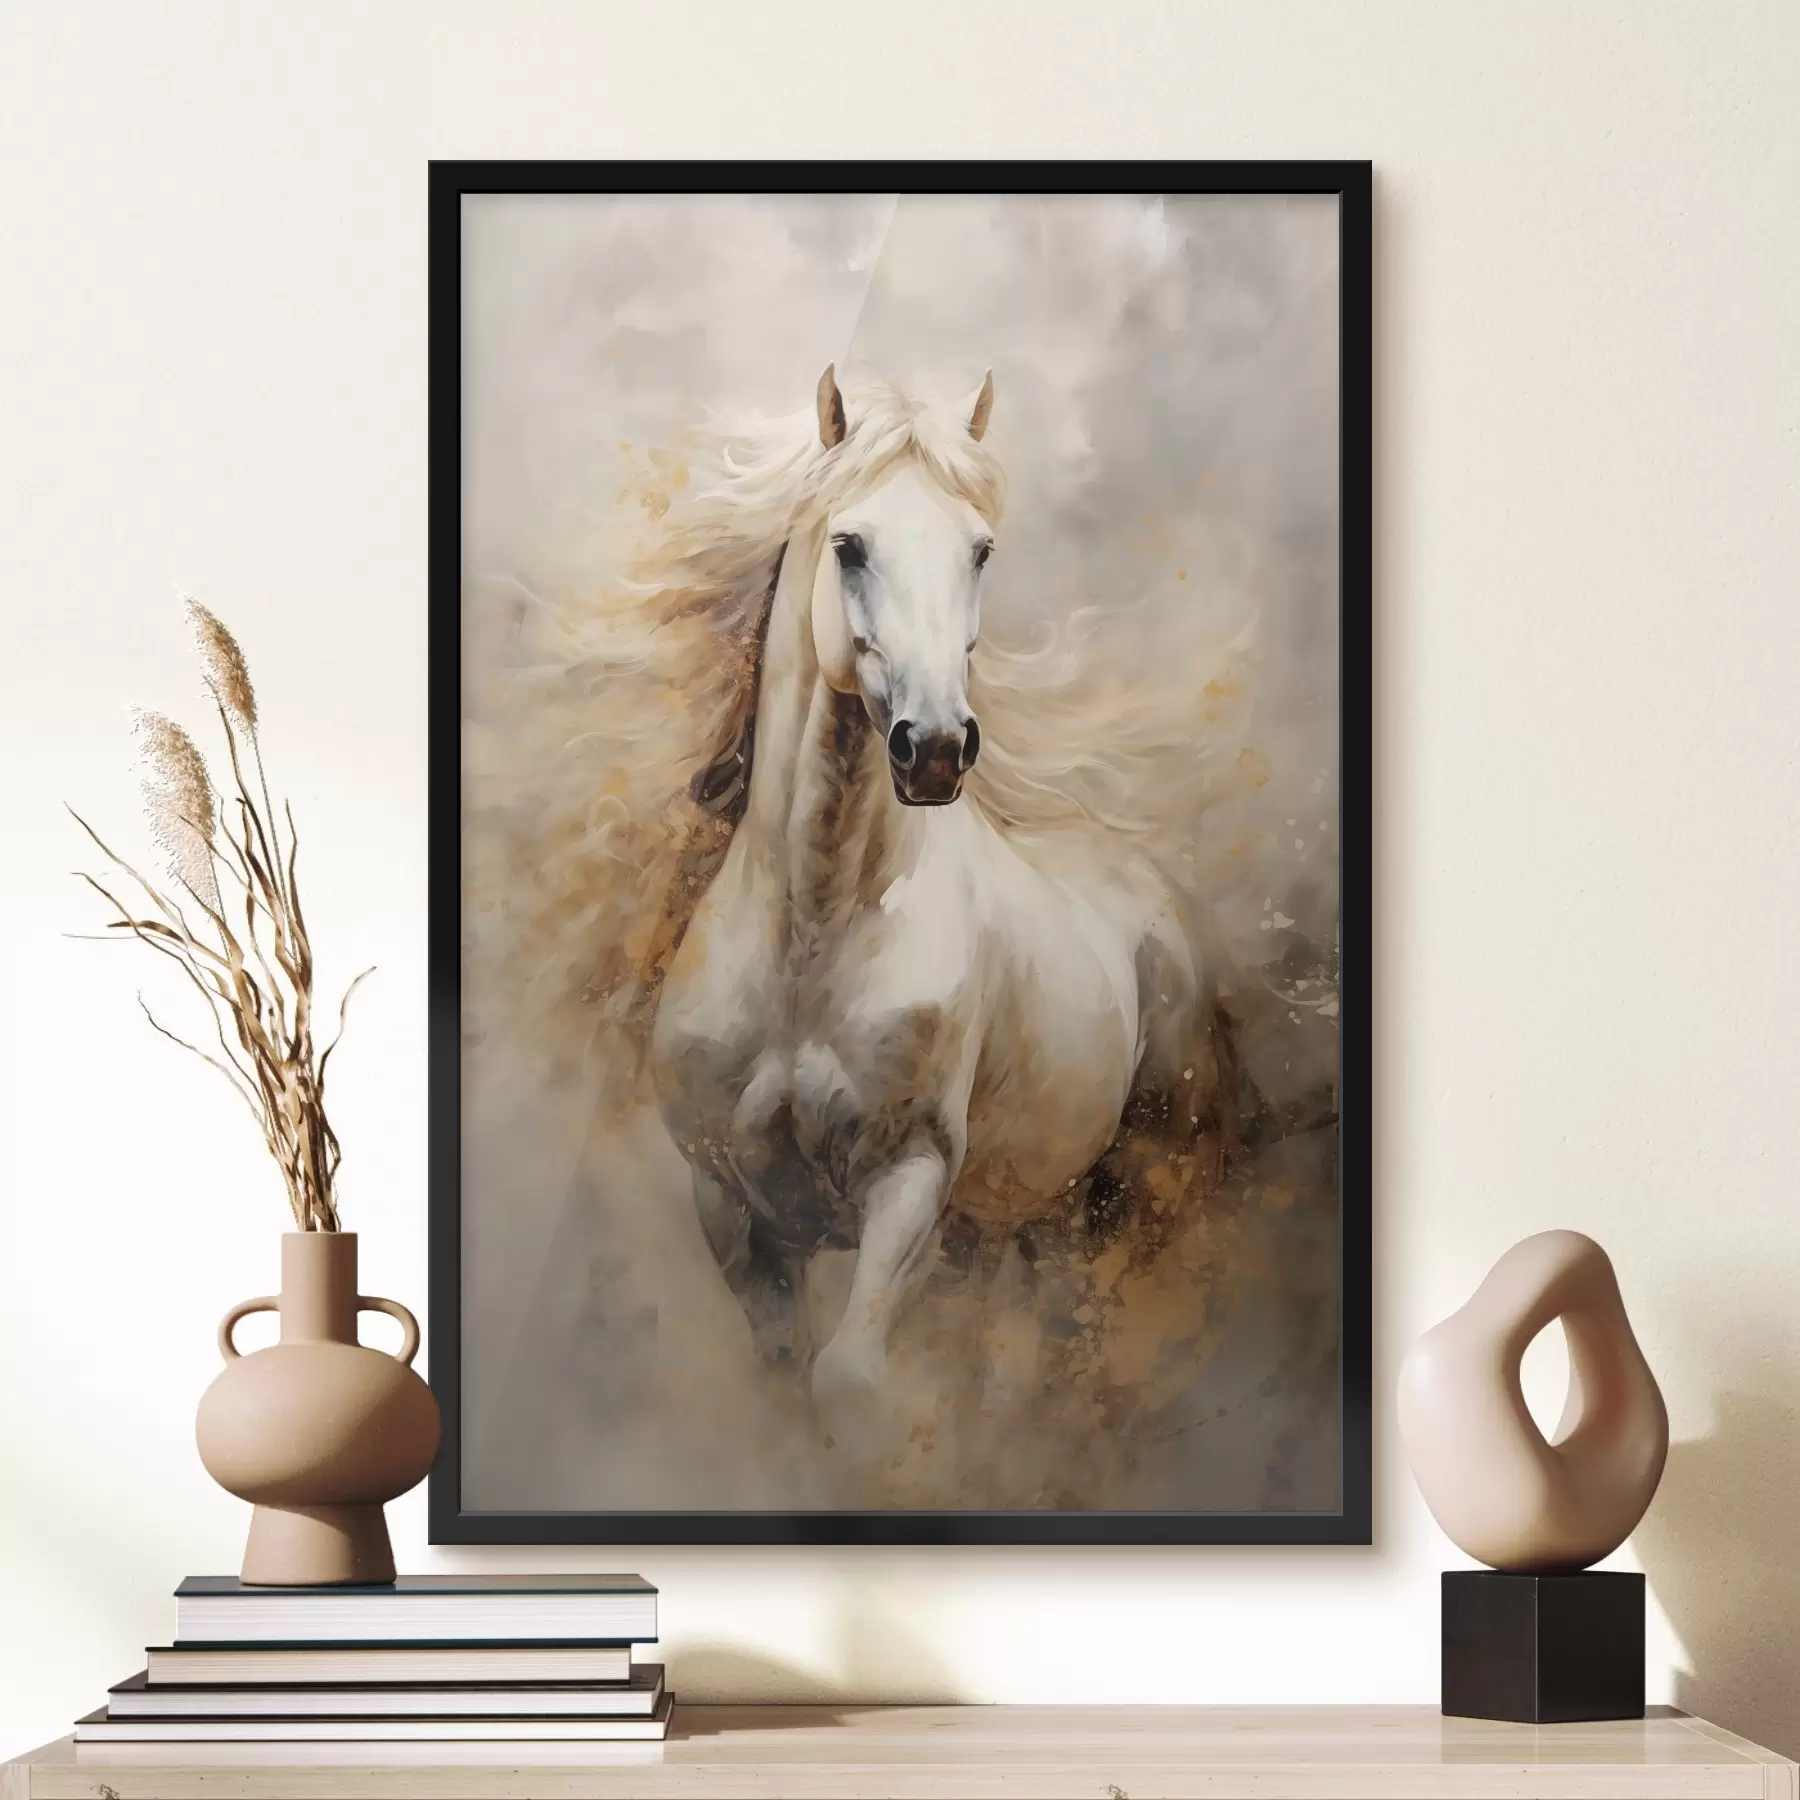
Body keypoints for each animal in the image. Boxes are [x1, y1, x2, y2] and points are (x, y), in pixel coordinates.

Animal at [644, 367, 1233, 1427]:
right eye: (849, 545)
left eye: (980, 550)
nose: (937, 750)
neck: (814, 934)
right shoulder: (735, 1208)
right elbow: (786, 1381)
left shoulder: (910, 1184)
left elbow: (848, 1380)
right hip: (1015, 1223)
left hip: (1129, 1191)